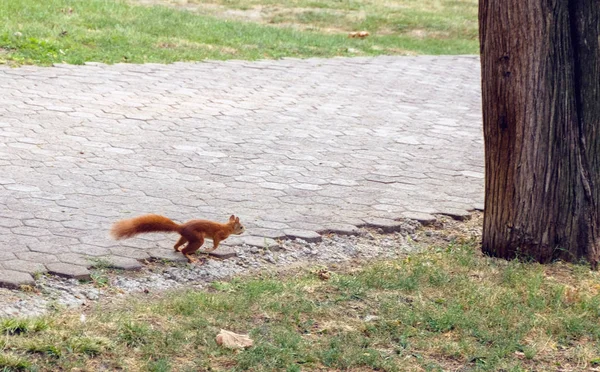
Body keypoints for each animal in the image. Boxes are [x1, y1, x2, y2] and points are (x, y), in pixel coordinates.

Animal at [111, 214, 245, 264]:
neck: (227, 227)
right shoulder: (219, 234)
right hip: (197, 239)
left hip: (186, 237)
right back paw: (191, 258)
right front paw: (210, 248)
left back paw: (178, 249)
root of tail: (182, 227)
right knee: (185, 250)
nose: (244, 231)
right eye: (241, 227)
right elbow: (216, 243)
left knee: (177, 246)